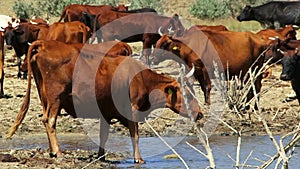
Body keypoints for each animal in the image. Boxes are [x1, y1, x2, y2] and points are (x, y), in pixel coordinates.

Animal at [6, 39, 202, 164]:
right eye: (188, 94)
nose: (200, 113)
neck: (140, 78)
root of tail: (44, 43)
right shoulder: (132, 109)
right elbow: (135, 135)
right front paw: (138, 158)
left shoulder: (106, 112)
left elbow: (103, 135)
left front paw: (100, 156)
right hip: (56, 98)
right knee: (50, 121)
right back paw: (59, 152)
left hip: (45, 98)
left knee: (45, 120)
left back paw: (52, 151)